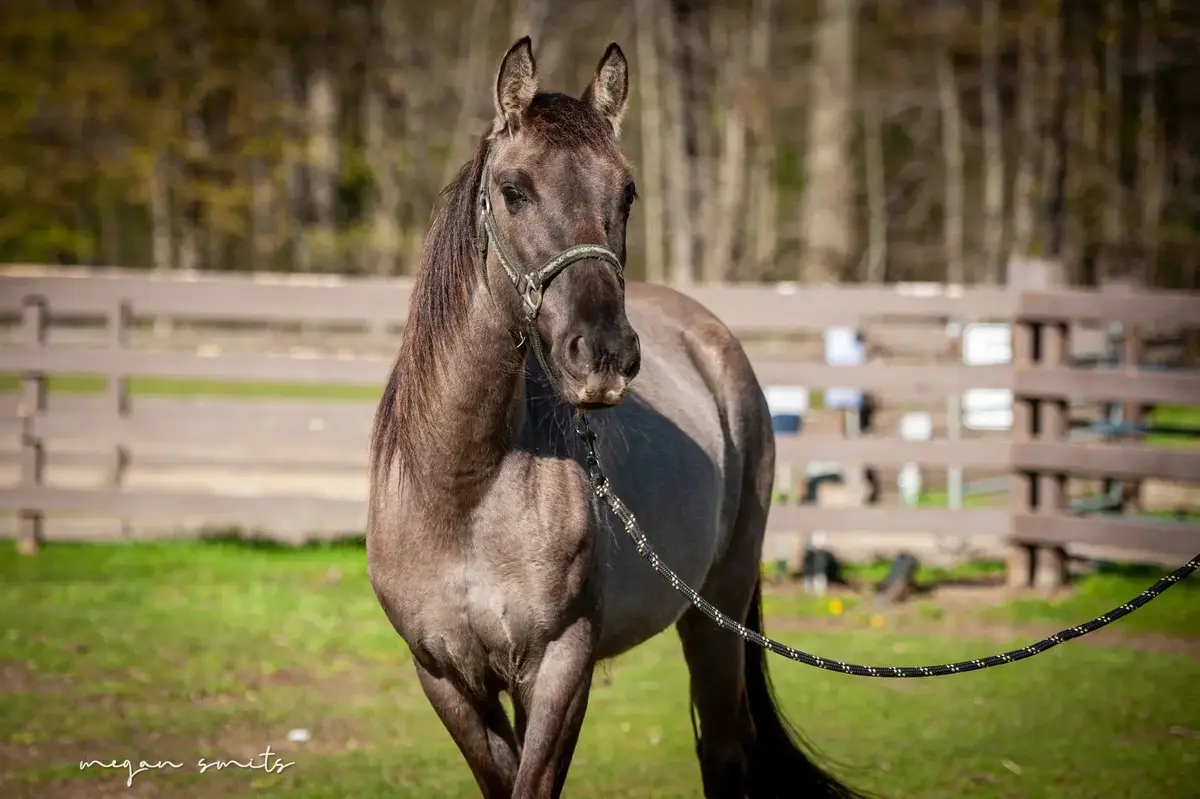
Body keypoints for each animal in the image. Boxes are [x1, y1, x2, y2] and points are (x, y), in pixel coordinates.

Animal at [366, 36, 867, 799]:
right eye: (514, 191)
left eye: (625, 193)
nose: (604, 354)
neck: (464, 488)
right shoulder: (447, 678)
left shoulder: (561, 666)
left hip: (717, 614)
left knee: (726, 749)